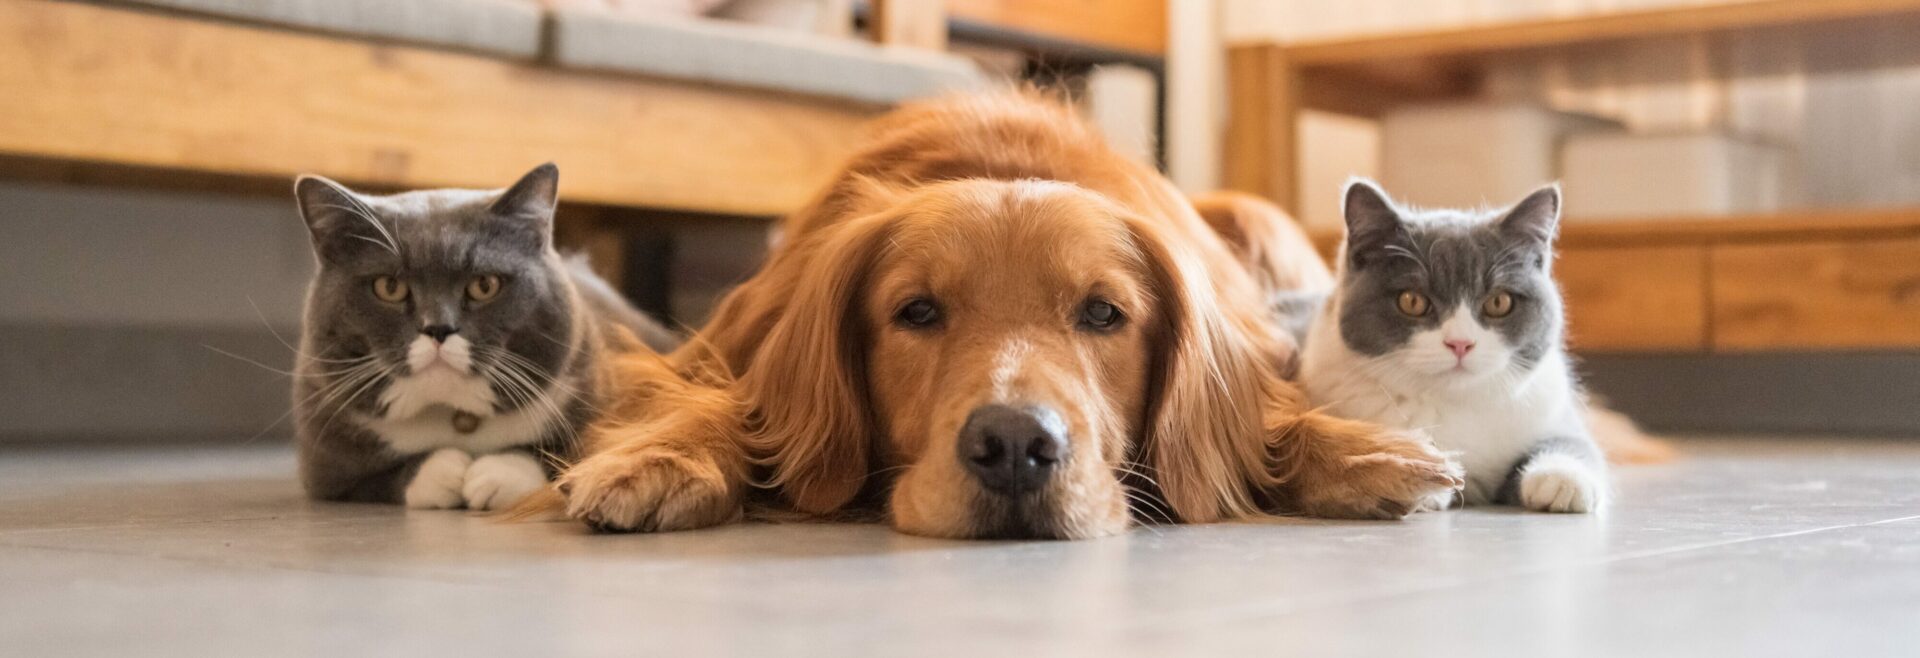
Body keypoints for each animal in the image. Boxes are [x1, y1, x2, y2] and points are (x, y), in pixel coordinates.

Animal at [284, 164, 675, 510]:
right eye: (389, 287)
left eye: (484, 285)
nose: (438, 328)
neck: (456, 415)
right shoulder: (323, 462)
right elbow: (374, 479)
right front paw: (444, 472)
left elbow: (572, 452)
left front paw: (495, 474)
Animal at [549, 93, 1459, 540]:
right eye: (916, 311)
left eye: (1103, 313)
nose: (1016, 447)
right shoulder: (724, 347)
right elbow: (716, 405)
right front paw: (659, 459)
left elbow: (1273, 419)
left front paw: (1367, 453)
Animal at [1305, 180, 1605, 514]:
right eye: (1412, 301)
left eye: (1499, 302)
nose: (1460, 343)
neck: (1454, 401)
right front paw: (1418, 476)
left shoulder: (1552, 408)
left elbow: (1577, 441)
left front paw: (1562, 478)